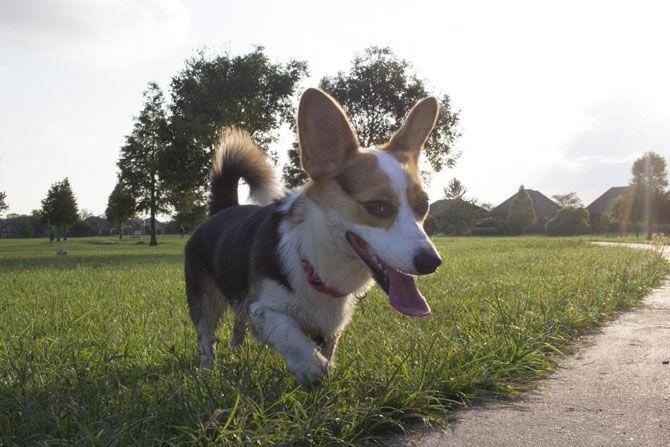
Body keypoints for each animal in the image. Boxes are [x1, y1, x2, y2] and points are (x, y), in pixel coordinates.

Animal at [186, 88, 444, 388]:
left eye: (423, 206)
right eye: (377, 207)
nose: (431, 262)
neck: (317, 265)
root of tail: (223, 210)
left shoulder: (330, 328)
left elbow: (326, 346)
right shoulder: (262, 310)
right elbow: (291, 336)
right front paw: (313, 368)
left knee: (236, 328)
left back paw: (238, 353)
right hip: (203, 298)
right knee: (207, 338)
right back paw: (207, 371)